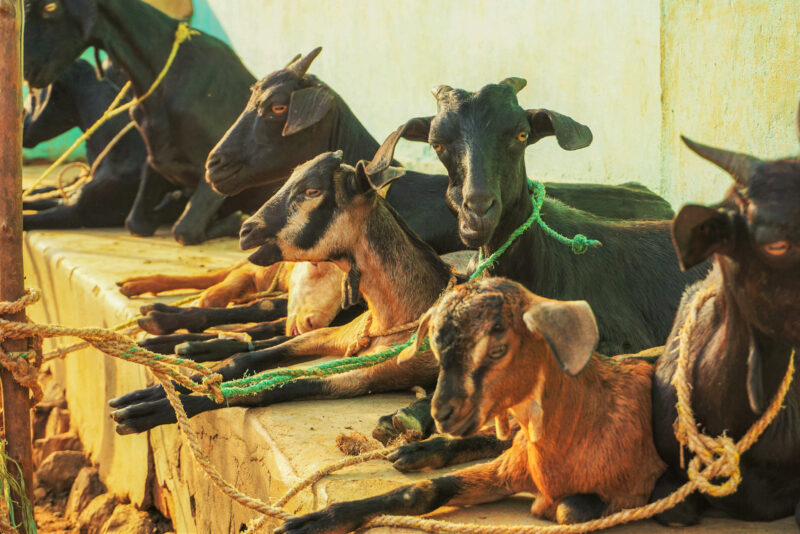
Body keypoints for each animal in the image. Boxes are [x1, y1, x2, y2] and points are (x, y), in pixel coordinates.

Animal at [278, 278, 664, 532]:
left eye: (497, 349)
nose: (443, 411)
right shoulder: (505, 469)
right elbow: (420, 491)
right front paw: (317, 520)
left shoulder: (630, 487)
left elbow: (570, 509)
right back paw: (421, 450)